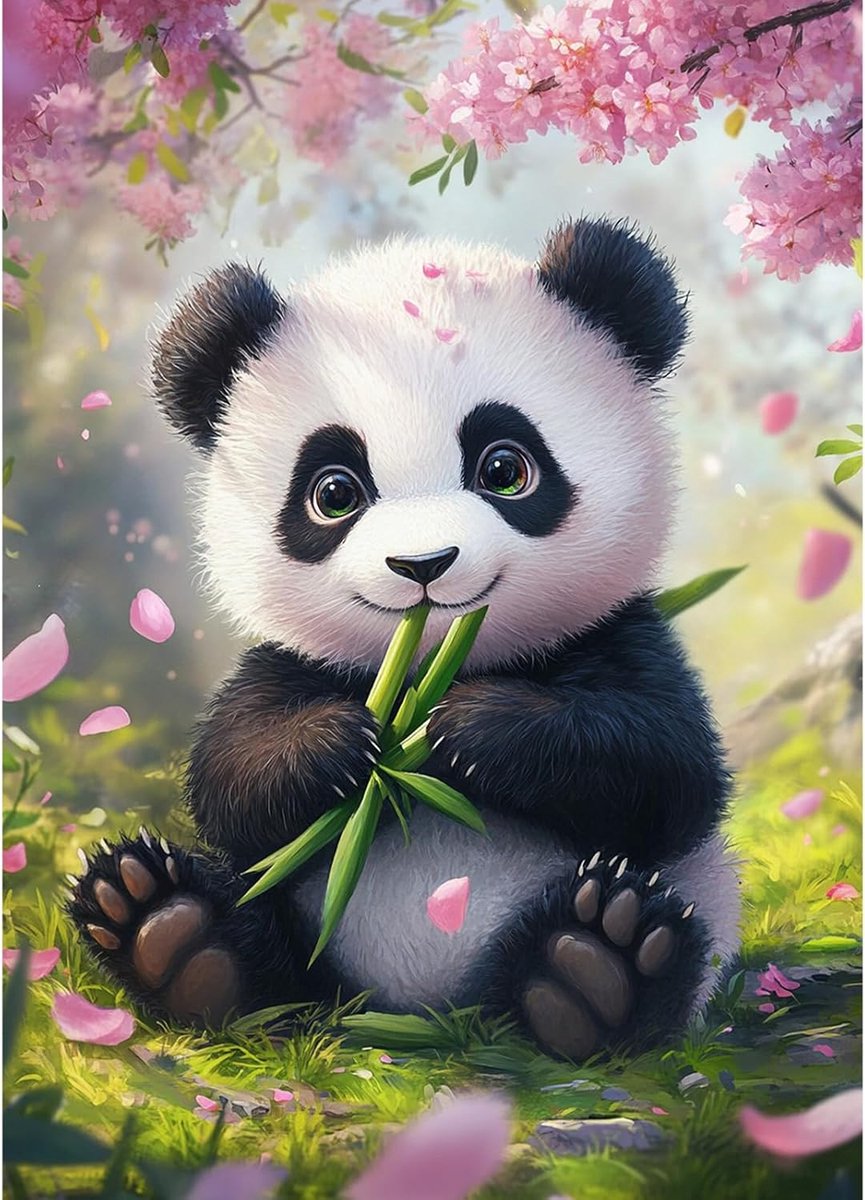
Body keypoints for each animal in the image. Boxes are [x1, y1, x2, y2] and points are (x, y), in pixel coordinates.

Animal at [69, 216, 740, 1061]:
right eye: (333, 492)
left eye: (505, 469)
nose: (423, 564)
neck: (429, 663)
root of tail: (421, 1012)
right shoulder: (288, 665)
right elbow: (231, 778)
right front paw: (341, 743)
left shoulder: (621, 636)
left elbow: (665, 768)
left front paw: (470, 727)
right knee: (254, 939)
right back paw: (171, 934)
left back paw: (596, 970)